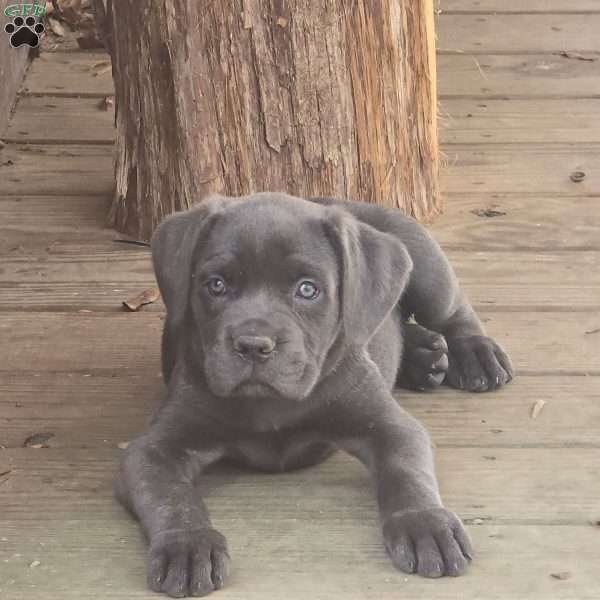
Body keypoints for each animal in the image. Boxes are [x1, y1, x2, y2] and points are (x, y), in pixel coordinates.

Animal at [116, 192, 510, 596]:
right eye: (216, 285)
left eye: (308, 289)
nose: (253, 345)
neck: (271, 406)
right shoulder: (154, 448)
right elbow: (172, 498)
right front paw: (186, 543)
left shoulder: (390, 425)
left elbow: (407, 474)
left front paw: (425, 522)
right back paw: (422, 355)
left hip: (425, 264)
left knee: (453, 311)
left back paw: (474, 355)